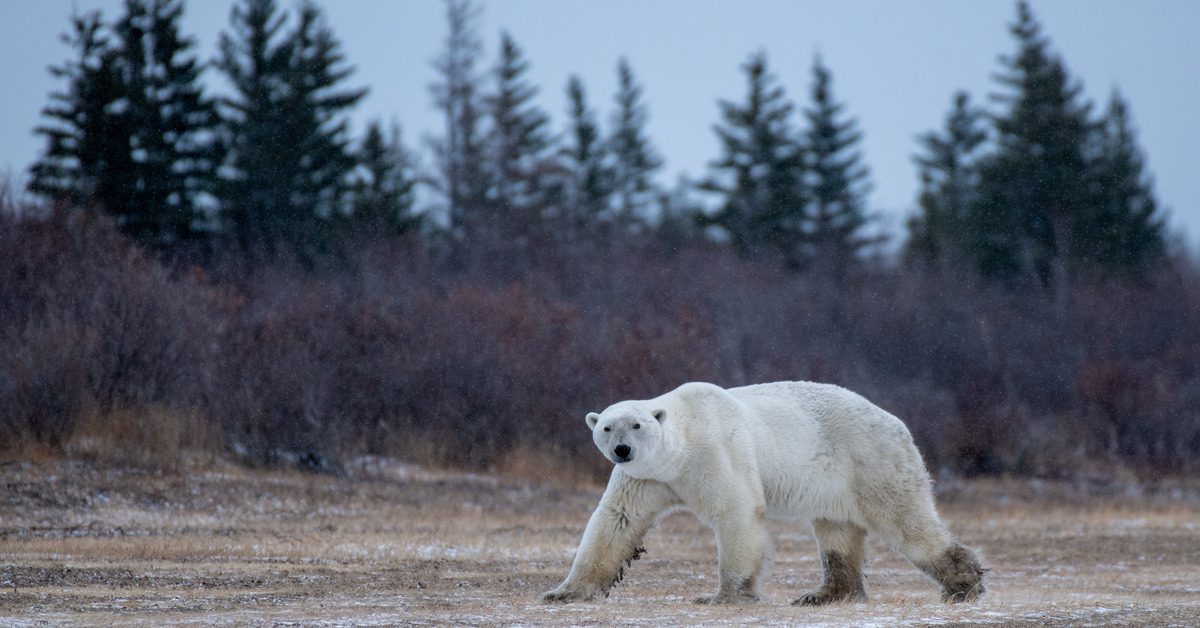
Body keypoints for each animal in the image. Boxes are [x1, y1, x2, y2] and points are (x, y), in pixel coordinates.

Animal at [542, 381, 984, 607]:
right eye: (607, 427)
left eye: (636, 425)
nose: (622, 450)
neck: (682, 442)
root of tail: (897, 423)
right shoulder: (647, 478)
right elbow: (615, 522)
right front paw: (563, 592)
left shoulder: (716, 451)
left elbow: (735, 510)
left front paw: (724, 596)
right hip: (837, 482)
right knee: (837, 531)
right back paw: (824, 593)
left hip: (870, 460)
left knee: (906, 519)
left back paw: (964, 584)